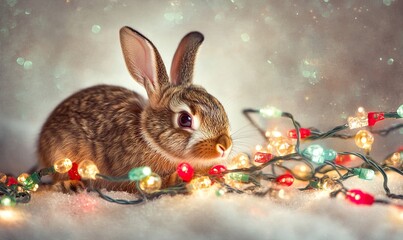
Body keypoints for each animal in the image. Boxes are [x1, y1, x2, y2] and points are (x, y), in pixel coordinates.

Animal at [38, 25, 234, 193]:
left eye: (219, 105)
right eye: (185, 119)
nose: (225, 145)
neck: (149, 139)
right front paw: (180, 179)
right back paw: (69, 185)